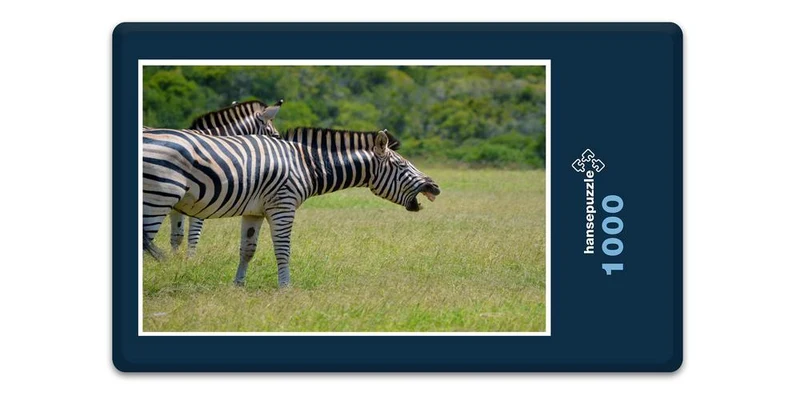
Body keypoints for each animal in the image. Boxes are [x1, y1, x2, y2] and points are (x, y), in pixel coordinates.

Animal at [142, 126, 441, 288]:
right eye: (401, 165)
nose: (435, 187)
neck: (306, 165)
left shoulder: (253, 211)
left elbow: (247, 250)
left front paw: (238, 285)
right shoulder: (283, 206)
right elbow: (283, 250)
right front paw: (285, 287)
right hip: (159, 196)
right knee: (147, 242)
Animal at [163, 99, 284, 256]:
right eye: (275, 136)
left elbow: (177, 235)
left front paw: (174, 259)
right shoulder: (201, 199)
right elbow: (193, 234)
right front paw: (190, 259)